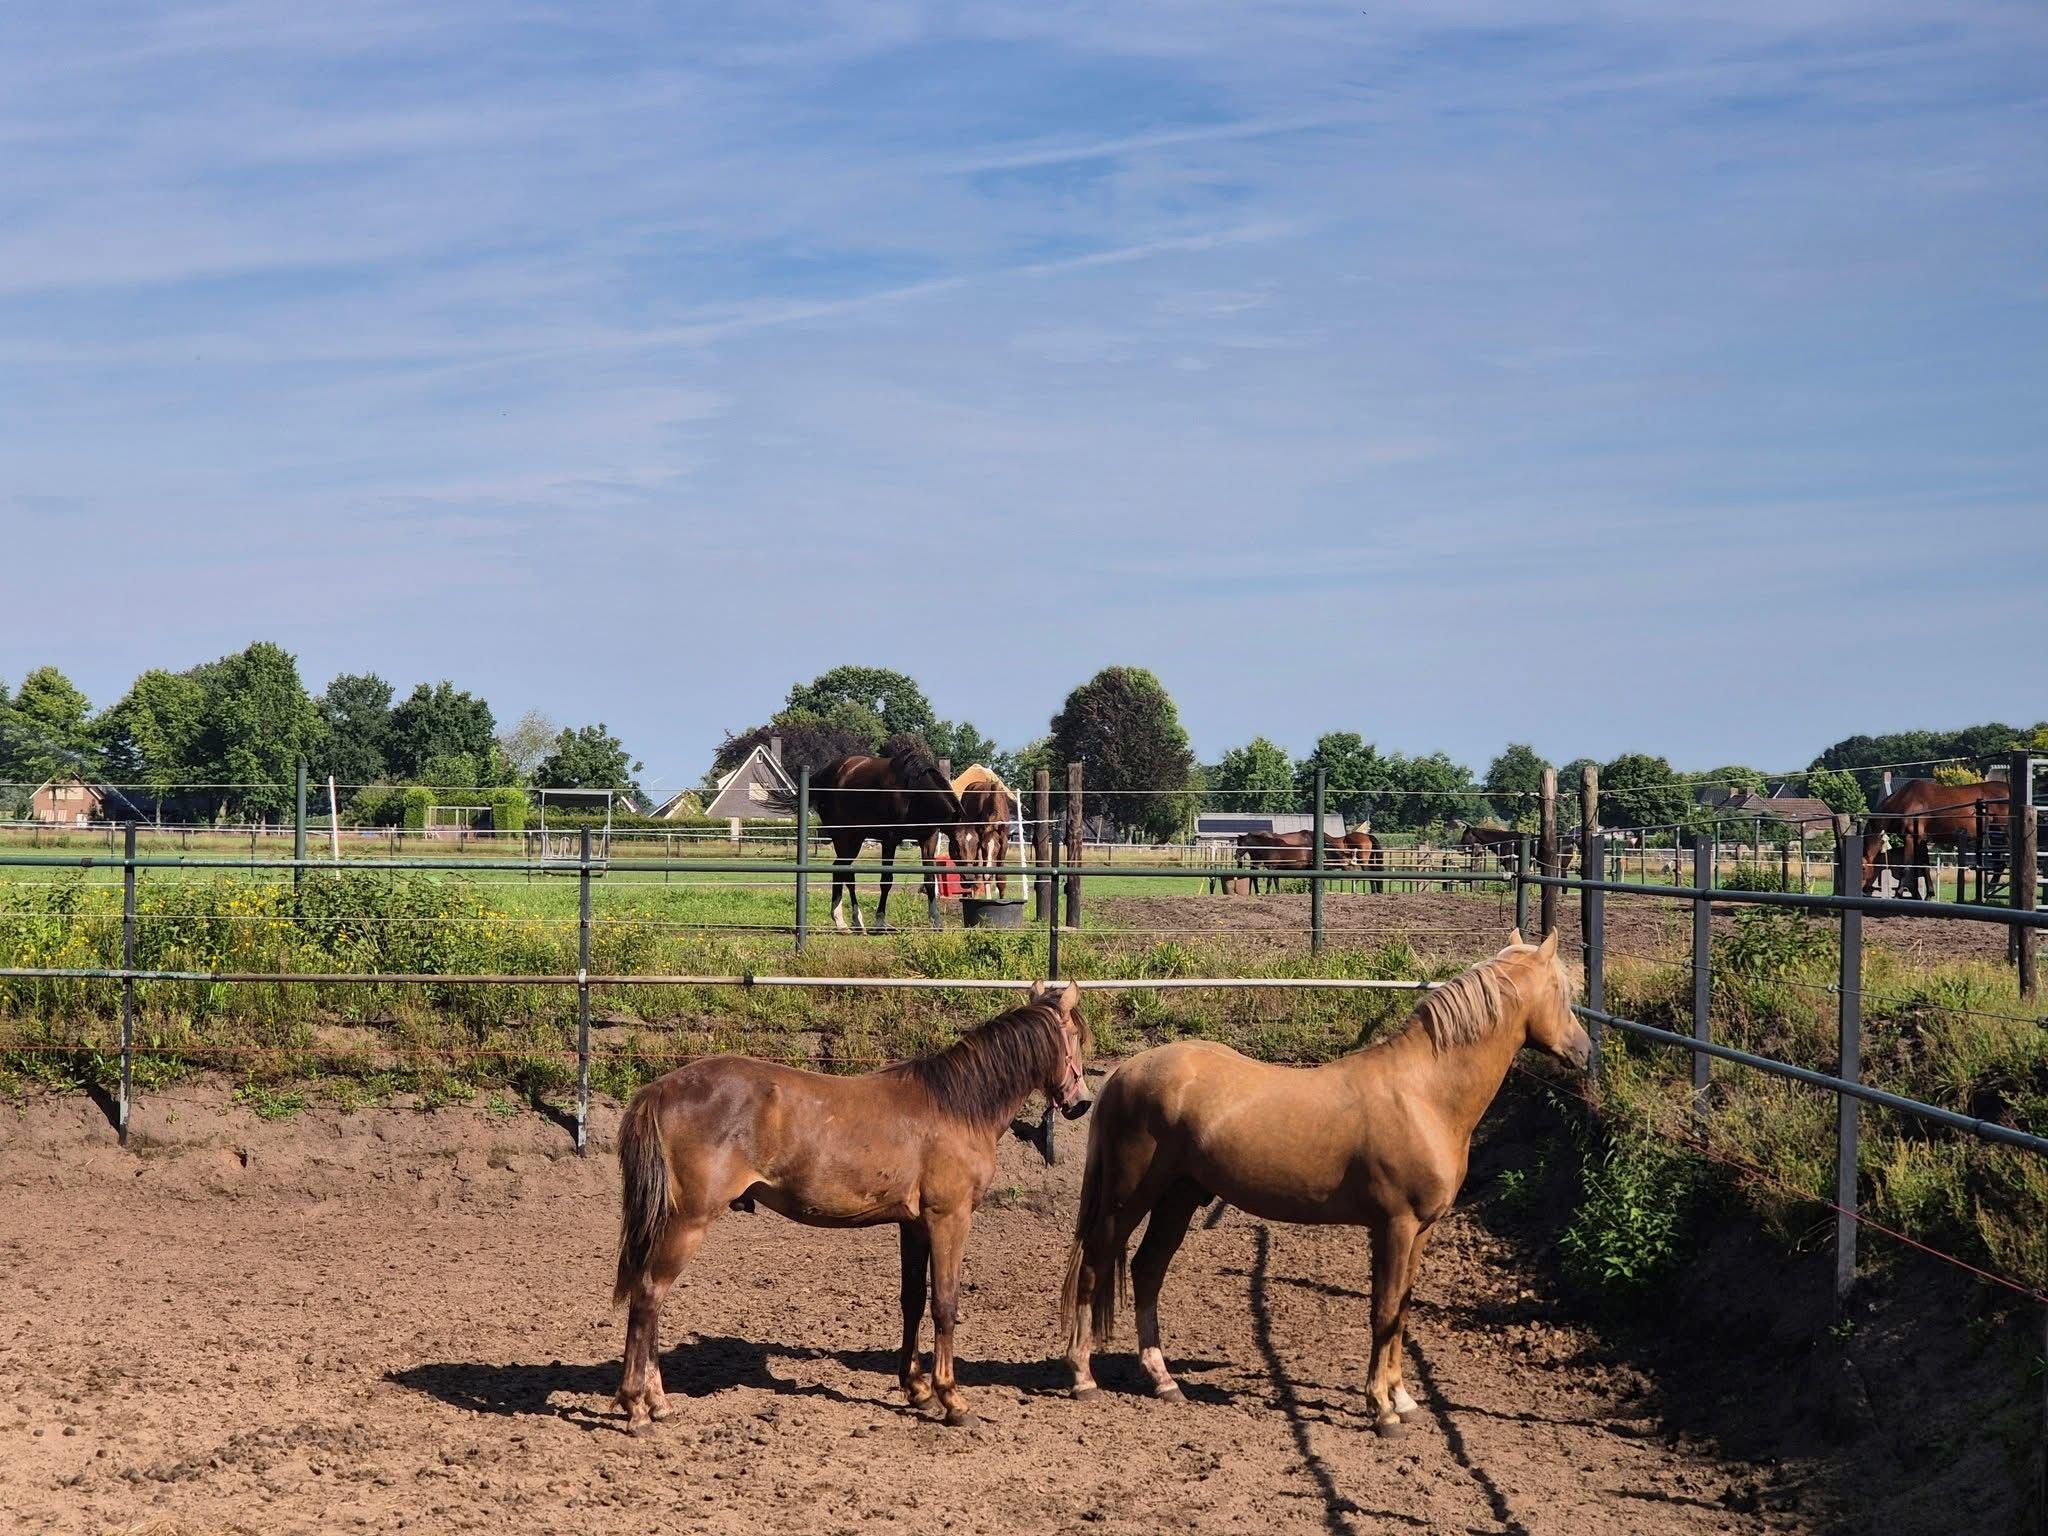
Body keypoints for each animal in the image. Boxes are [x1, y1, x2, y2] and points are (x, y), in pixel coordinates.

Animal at [612, 981, 1095, 1432]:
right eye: (1075, 1036)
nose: (1082, 1102)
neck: (957, 1105)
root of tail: (659, 1090)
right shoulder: (949, 1219)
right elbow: (945, 1304)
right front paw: (952, 1400)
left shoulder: (914, 1225)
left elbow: (912, 1301)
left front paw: (917, 1390)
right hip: (687, 1222)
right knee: (649, 1295)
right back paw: (637, 1406)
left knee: (649, 1298)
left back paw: (657, 1403)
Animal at [770, 741, 971, 931]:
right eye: (957, 846)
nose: (969, 880)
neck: (913, 793)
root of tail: (825, 775)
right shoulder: (890, 840)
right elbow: (886, 881)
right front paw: (880, 921)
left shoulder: (928, 840)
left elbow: (929, 880)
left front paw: (936, 921)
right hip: (845, 837)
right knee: (844, 872)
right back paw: (849, 920)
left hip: (855, 838)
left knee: (841, 870)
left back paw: (846, 921)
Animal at [949, 764, 1014, 900]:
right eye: (983, 847)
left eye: (997, 849)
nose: (989, 875)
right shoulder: (978, 841)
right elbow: (979, 875)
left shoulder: (1004, 841)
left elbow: (1001, 879)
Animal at [1060, 929, 1587, 1436]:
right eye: (1560, 992)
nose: (1584, 1051)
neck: (1423, 1095)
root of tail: (1126, 1071)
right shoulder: (1394, 1226)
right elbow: (1383, 1310)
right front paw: (1383, 1411)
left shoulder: (1422, 1230)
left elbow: (1401, 1312)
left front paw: (1403, 1400)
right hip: (1126, 1200)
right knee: (1095, 1267)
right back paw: (1083, 1378)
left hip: (1178, 1198)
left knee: (1147, 1270)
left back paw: (1164, 1380)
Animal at [1861, 778, 2010, 898]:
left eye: (1862, 868)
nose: (1863, 889)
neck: (1905, 801)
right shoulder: (1921, 840)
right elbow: (1925, 866)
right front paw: (1928, 894)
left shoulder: (1910, 837)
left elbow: (1907, 866)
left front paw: (1898, 894)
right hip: (1996, 837)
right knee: (2000, 863)